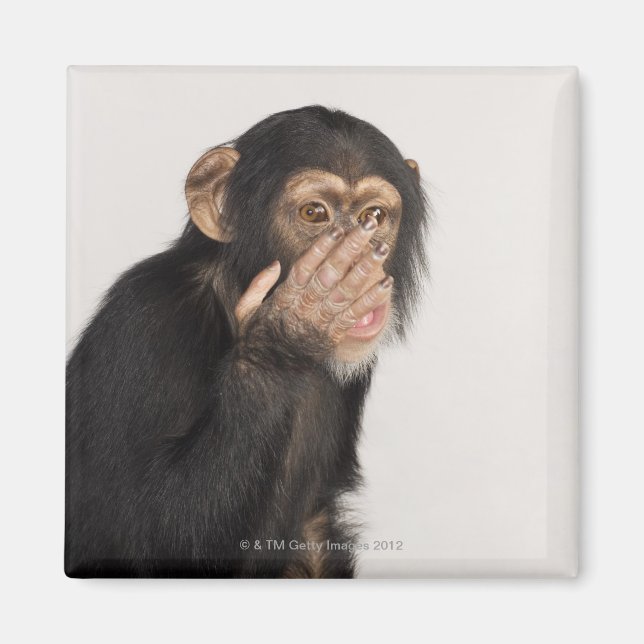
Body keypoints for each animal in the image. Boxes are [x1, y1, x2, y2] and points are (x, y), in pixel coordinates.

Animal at [65, 105, 429, 578]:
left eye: (375, 217)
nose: (362, 262)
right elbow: (152, 532)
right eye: (314, 213)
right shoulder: (143, 322)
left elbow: (313, 526)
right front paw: (284, 336)